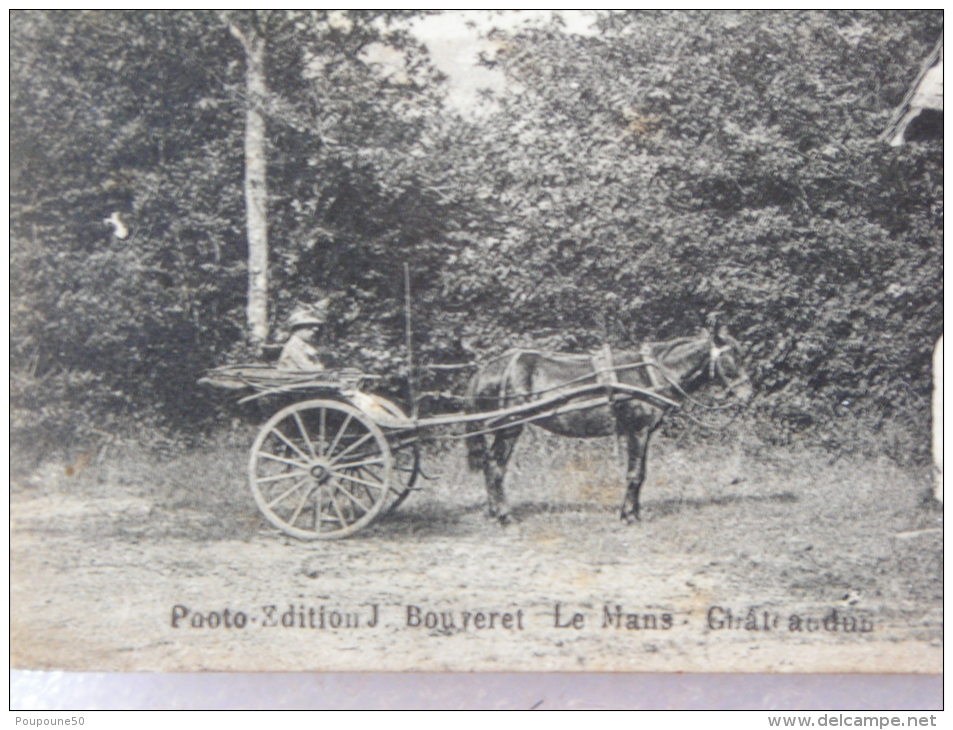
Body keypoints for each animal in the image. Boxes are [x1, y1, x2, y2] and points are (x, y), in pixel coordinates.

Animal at [464, 324, 756, 524]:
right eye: (733, 358)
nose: (748, 395)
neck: (649, 374)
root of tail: (488, 369)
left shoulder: (643, 432)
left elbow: (641, 474)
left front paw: (633, 512)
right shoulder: (637, 430)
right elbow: (634, 474)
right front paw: (628, 516)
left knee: (491, 466)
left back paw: (493, 512)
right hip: (509, 427)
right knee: (496, 467)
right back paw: (504, 516)